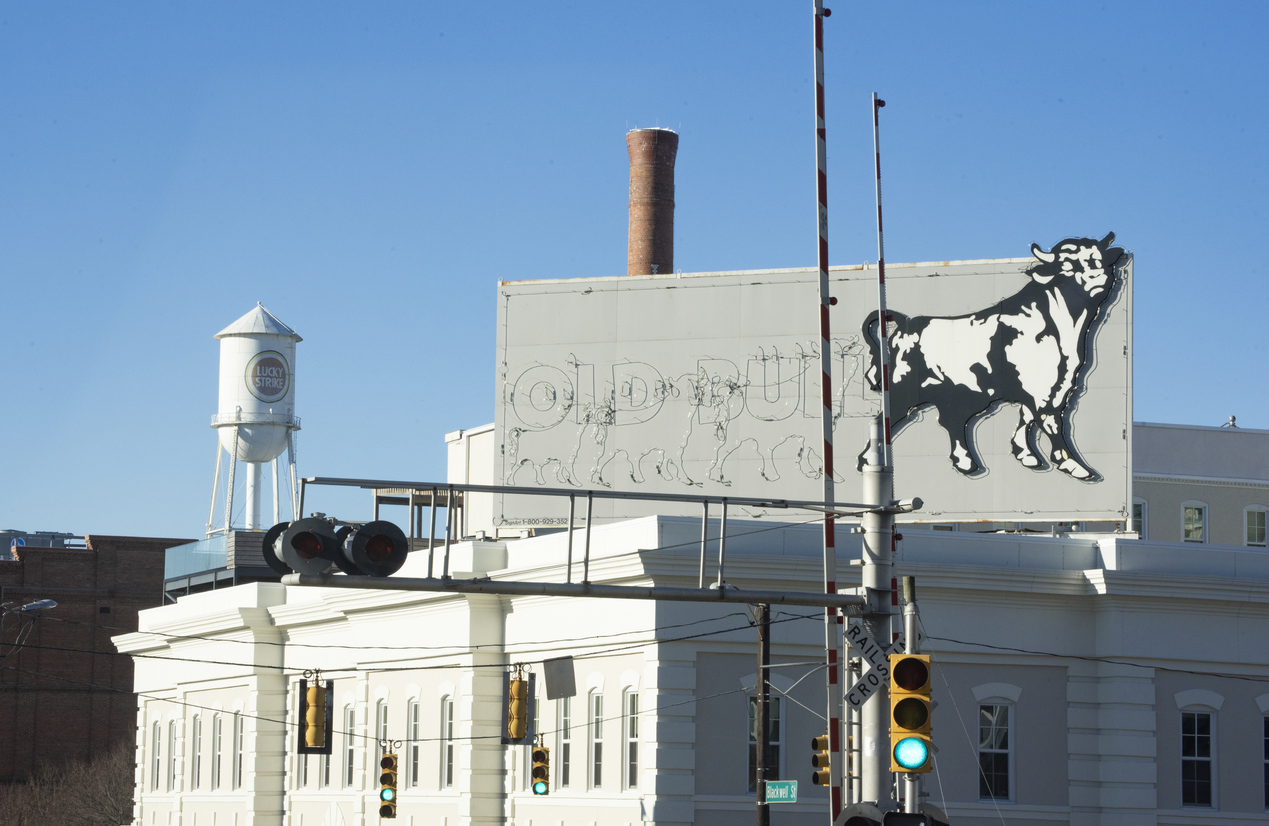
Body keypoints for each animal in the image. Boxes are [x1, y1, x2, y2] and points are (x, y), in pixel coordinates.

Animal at [862, 232, 1121, 477]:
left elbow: (1027, 417)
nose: (1097, 279)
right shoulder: (1043, 388)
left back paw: (965, 462)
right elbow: (1050, 423)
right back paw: (868, 460)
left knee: (952, 423)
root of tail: (906, 323)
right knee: (886, 420)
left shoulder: (1055, 384)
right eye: (1067, 266)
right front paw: (1074, 466)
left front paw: (1027, 455)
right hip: (903, 388)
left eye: (1098, 258)